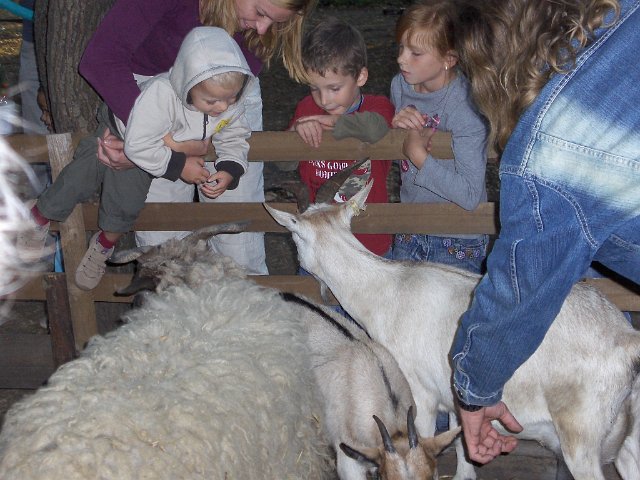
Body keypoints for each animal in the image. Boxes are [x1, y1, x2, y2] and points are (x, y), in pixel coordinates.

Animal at [264, 180, 640, 480]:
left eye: (295, 237)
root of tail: (626, 340)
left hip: (581, 437)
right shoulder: (457, 401)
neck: (388, 290)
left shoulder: (419, 396)